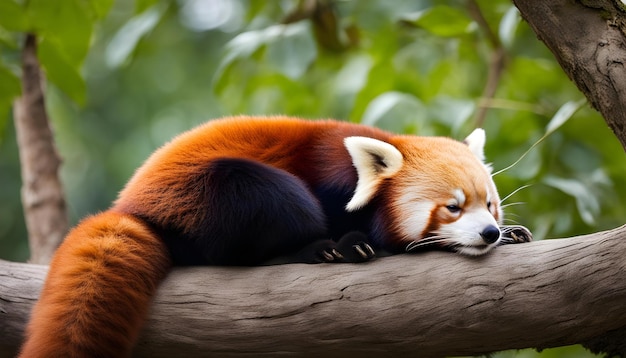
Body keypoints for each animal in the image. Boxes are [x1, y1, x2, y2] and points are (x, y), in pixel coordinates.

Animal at [18, 116, 528, 356]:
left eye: (490, 205)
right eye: (452, 207)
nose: (489, 232)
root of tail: (130, 207)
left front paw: (515, 234)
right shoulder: (328, 179)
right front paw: (356, 241)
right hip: (209, 195)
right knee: (271, 203)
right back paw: (316, 250)